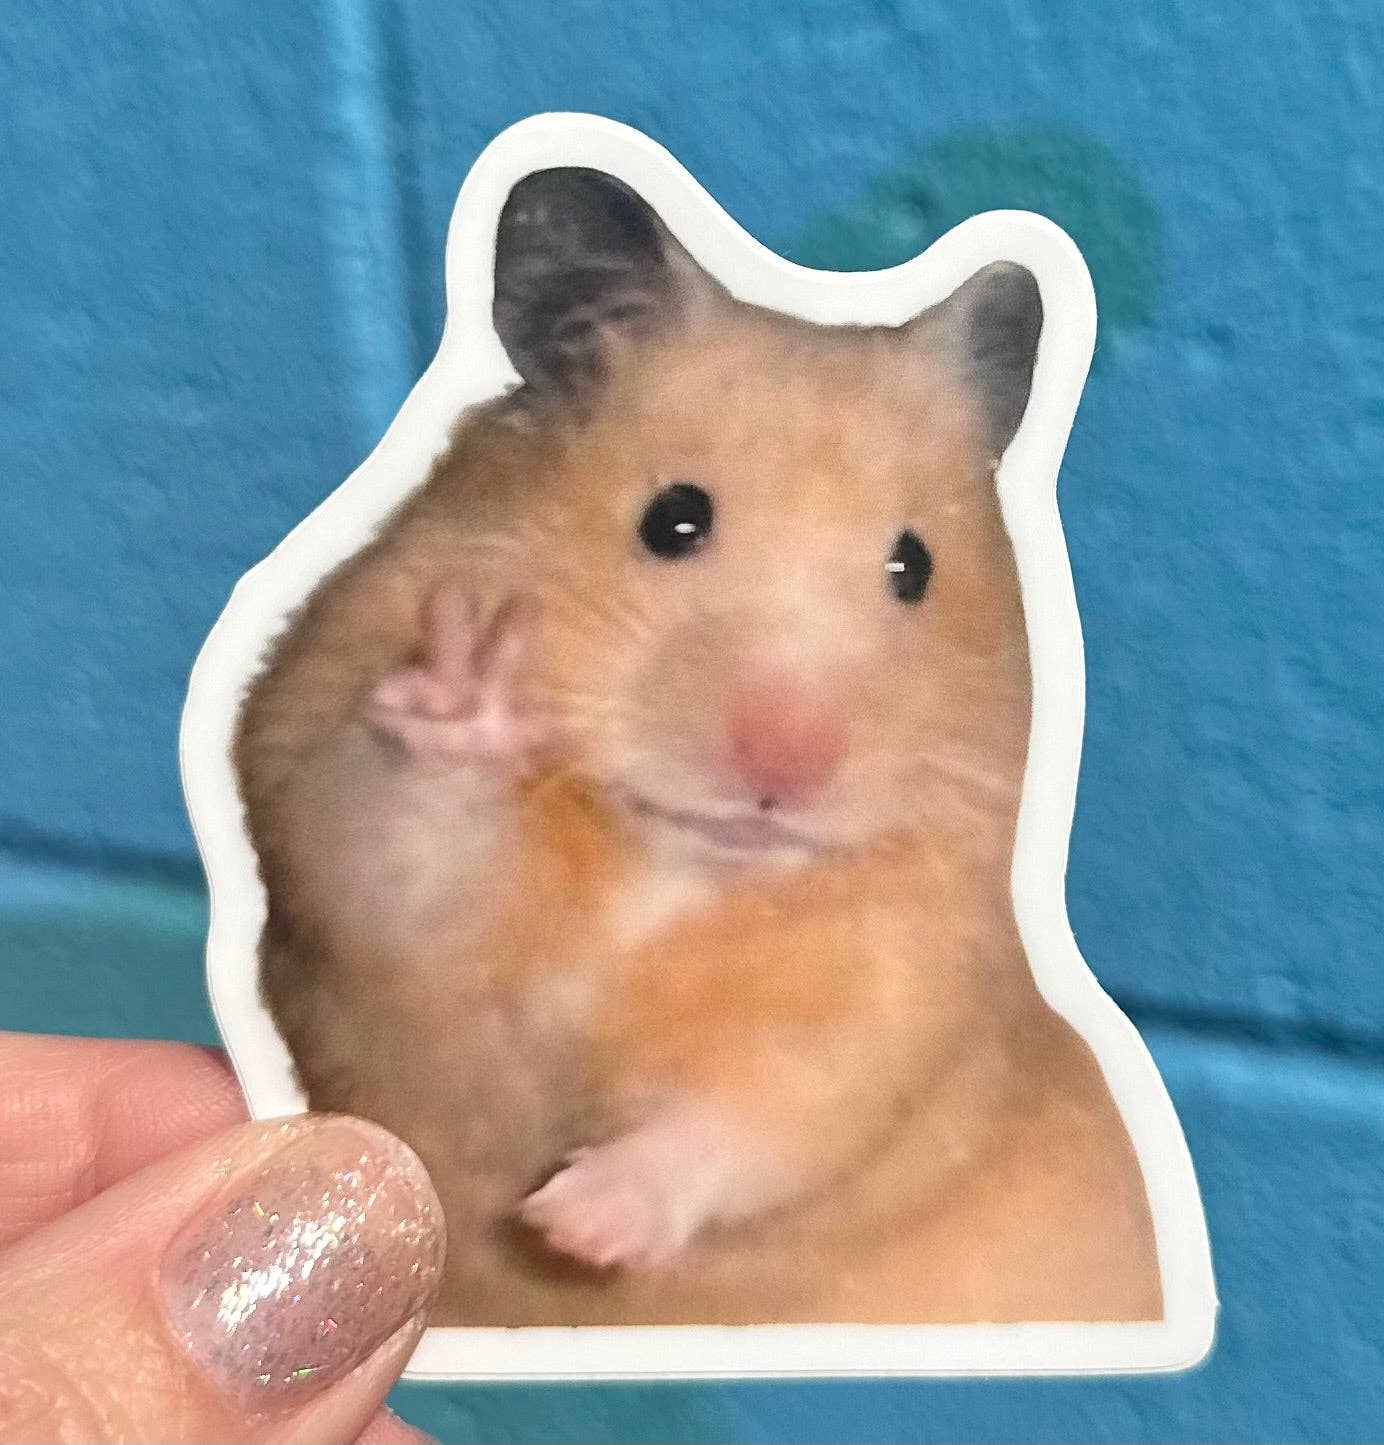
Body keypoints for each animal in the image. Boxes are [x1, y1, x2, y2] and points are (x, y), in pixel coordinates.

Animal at [234, 167, 1160, 1325]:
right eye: (672, 520)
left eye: (914, 565)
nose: (783, 768)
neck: (676, 866)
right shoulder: (336, 849)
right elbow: (400, 846)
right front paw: (468, 686)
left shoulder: (901, 992)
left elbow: (763, 1111)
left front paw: (573, 1222)